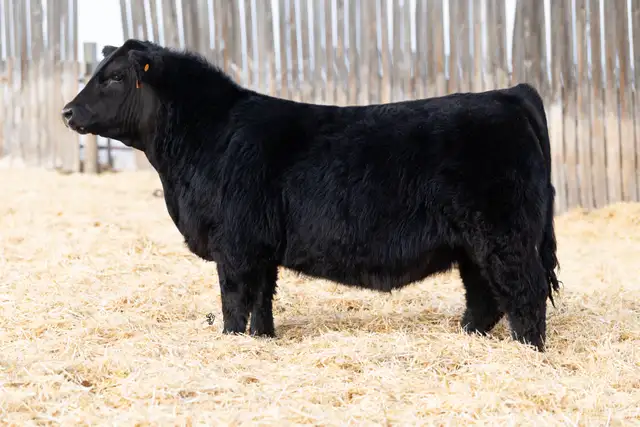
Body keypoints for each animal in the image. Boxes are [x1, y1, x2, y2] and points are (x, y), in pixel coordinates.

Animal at [61, 39, 561, 352]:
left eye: (113, 78)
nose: (67, 111)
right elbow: (261, 301)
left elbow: (234, 299)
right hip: (473, 245)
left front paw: (231, 341)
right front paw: (261, 340)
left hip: (505, 236)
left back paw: (528, 351)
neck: (207, 138)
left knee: (525, 292)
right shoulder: (259, 248)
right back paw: (469, 337)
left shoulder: (235, 245)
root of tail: (509, 94)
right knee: (485, 296)